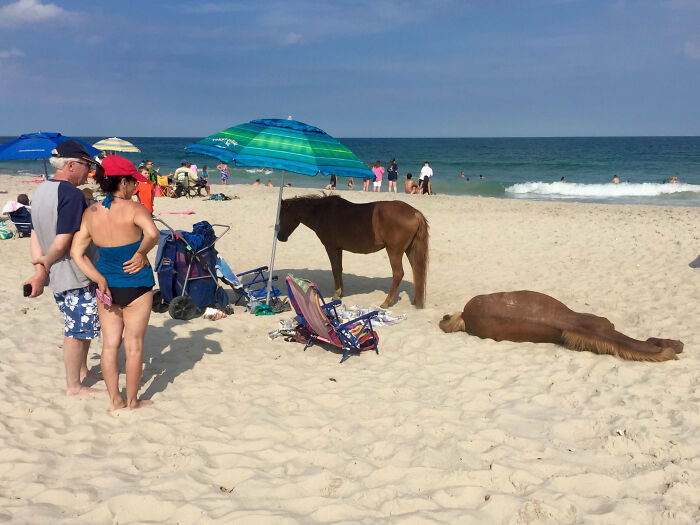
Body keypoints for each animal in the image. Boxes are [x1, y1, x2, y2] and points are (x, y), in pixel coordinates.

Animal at [278, 195, 429, 308]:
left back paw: (386, 302)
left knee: (398, 274)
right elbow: (339, 269)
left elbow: (335, 269)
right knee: (417, 271)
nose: (280, 237)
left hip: (394, 251)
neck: (323, 212)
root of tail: (414, 212)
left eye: (282, 215)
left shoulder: (331, 247)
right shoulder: (338, 249)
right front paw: (340, 292)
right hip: (409, 250)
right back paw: (416, 300)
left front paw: (336, 294)